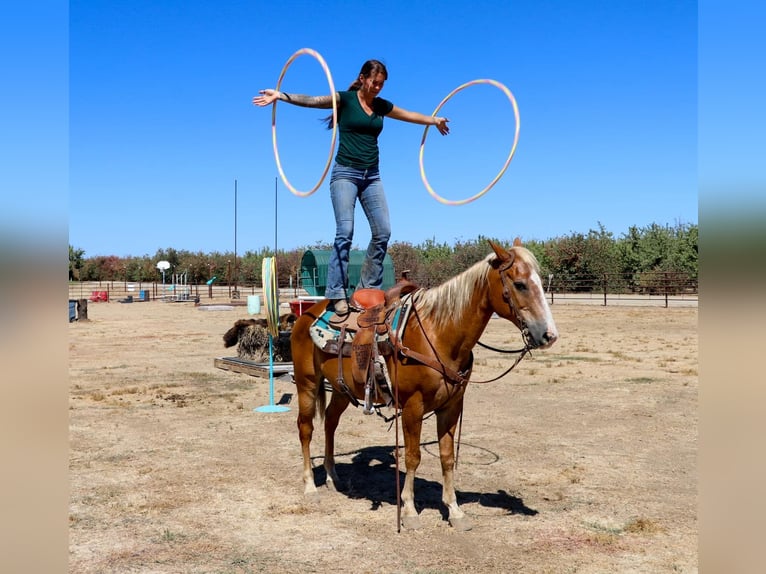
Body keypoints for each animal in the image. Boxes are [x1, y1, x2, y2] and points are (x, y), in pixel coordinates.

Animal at [290, 239, 558, 531]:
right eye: (519, 284)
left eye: (541, 282)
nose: (549, 335)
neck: (438, 333)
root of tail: (308, 314)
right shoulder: (412, 406)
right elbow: (413, 456)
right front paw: (409, 511)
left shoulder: (451, 407)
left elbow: (447, 456)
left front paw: (454, 510)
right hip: (307, 383)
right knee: (306, 428)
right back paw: (309, 485)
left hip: (342, 389)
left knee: (330, 422)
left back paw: (332, 476)